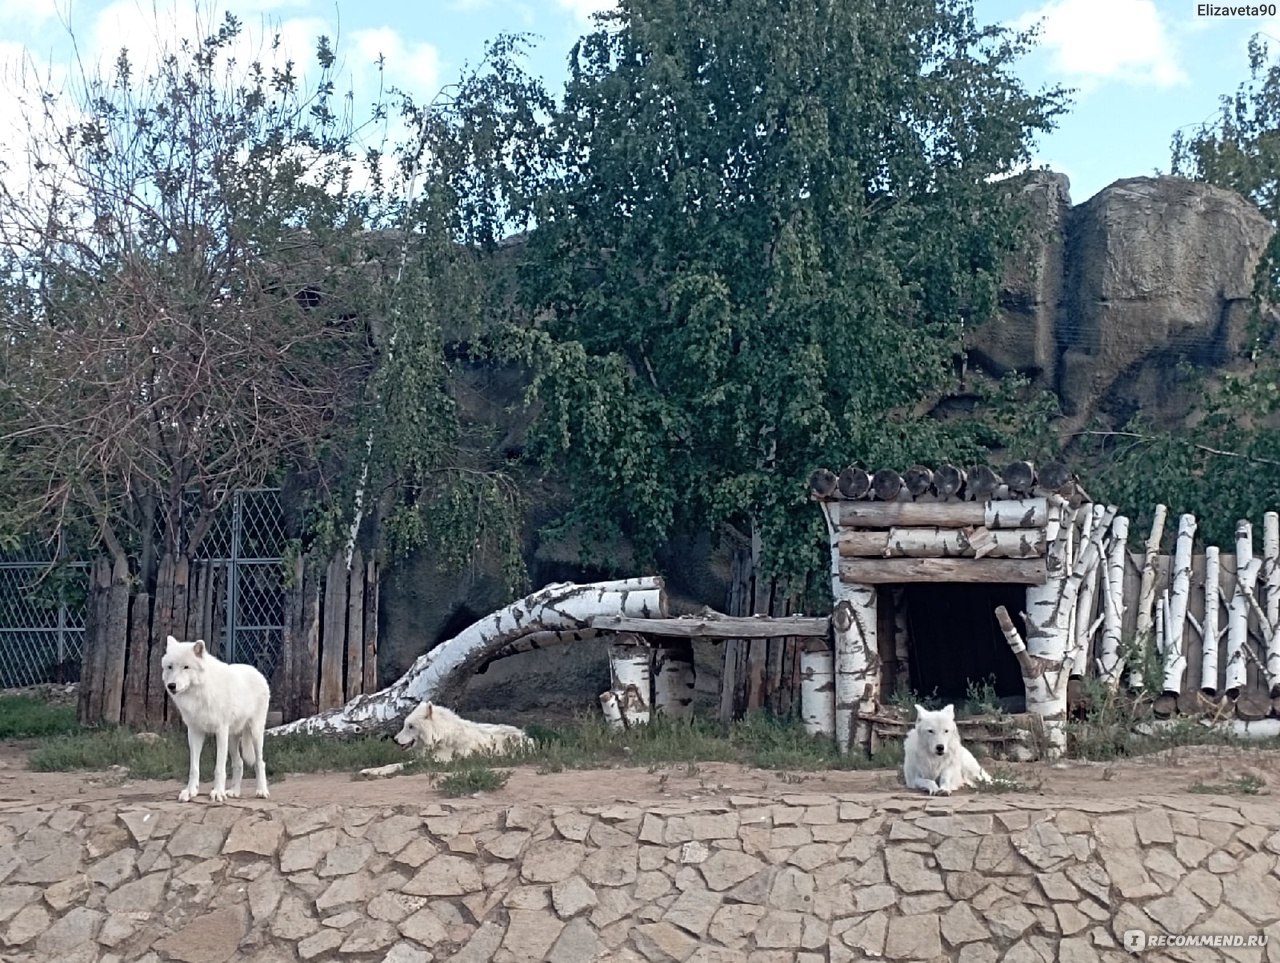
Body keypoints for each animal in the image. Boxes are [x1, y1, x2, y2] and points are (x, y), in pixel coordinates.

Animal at [160, 635, 270, 799]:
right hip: (232, 739)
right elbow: (194, 768)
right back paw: (234, 791)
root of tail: (257, 671)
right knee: (239, 763)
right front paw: (190, 791)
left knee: (259, 762)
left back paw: (261, 791)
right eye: (170, 667)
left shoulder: (220, 731)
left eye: (186, 667)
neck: (199, 693)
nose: (171, 685)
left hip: (255, 733)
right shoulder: (194, 732)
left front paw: (217, 792)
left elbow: (219, 768)